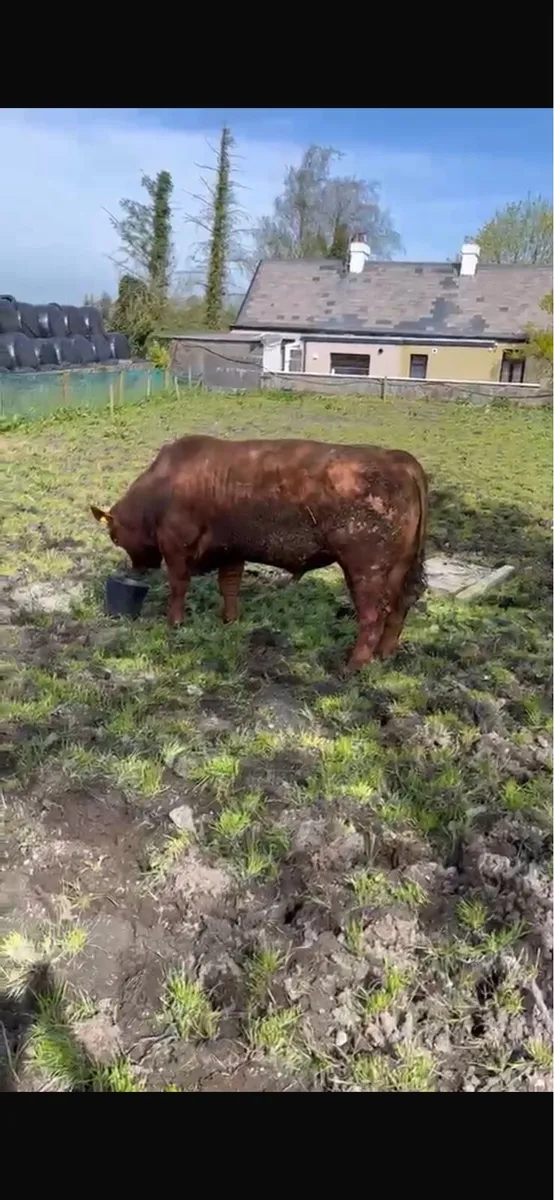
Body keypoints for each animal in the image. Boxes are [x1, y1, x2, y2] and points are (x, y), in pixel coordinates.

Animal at [91, 435, 428, 670]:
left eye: (114, 536)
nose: (136, 570)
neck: (164, 485)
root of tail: (398, 458)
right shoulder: (231, 550)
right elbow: (229, 586)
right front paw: (230, 620)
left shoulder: (176, 545)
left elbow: (178, 585)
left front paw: (174, 622)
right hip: (400, 568)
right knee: (399, 607)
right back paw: (384, 655)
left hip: (365, 569)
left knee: (372, 616)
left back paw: (354, 665)